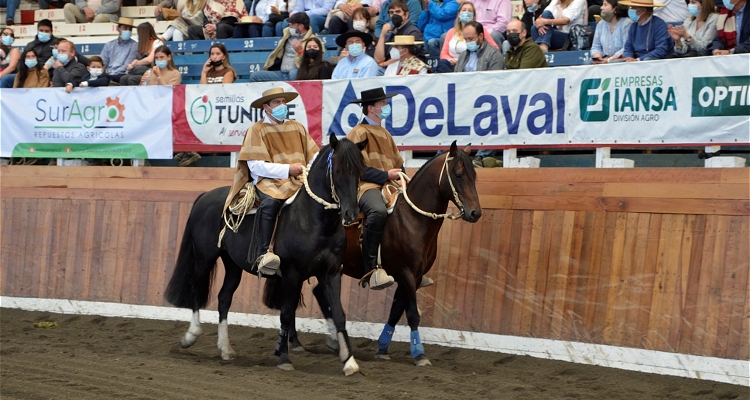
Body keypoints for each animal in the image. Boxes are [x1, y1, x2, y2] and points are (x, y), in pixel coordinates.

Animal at [164, 134, 368, 376]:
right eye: (337, 169)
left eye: (360, 171)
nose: (351, 214)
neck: (314, 220)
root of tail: (205, 196)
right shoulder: (291, 274)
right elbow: (287, 313)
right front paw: (284, 358)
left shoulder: (331, 273)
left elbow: (338, 313)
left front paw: (349, 361)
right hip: (205, 258)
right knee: (197, 287)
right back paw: (191, 335)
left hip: (233, 265)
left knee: (224, 298)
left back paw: (226, 348)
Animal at [302, 141, 482, 366]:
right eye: (458, 174)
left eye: (474, 175)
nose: (475, 213)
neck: (412, 219)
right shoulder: (406, 273)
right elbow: (412, 314)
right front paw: (419, 353)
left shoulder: (414, 276)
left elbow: (396, 311)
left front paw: (382, 347)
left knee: (319, 292)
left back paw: (334, 340)